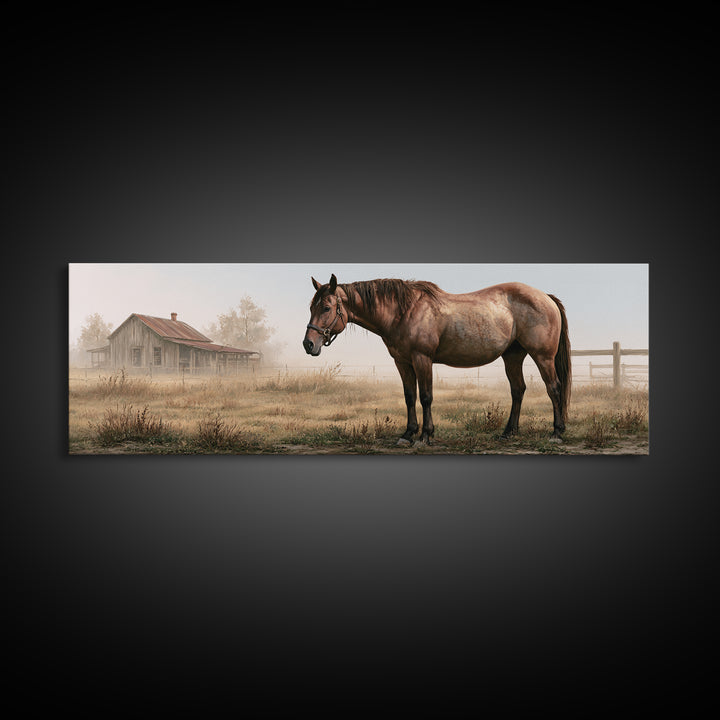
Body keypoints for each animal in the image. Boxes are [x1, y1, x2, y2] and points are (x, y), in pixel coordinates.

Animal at [303, 274, 571, 445]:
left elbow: (425, 397)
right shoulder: (402, 362)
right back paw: (508, 433)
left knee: (554, 388)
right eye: (311, 307)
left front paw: (425, 436)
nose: (308, 344)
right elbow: (409, 397)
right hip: (513, 356)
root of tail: (545, 297)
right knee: (518, 390)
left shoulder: (422, 359)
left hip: (543, 357)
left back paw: (556, 433)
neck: (404, 311)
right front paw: (407, 434)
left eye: (326, 308)